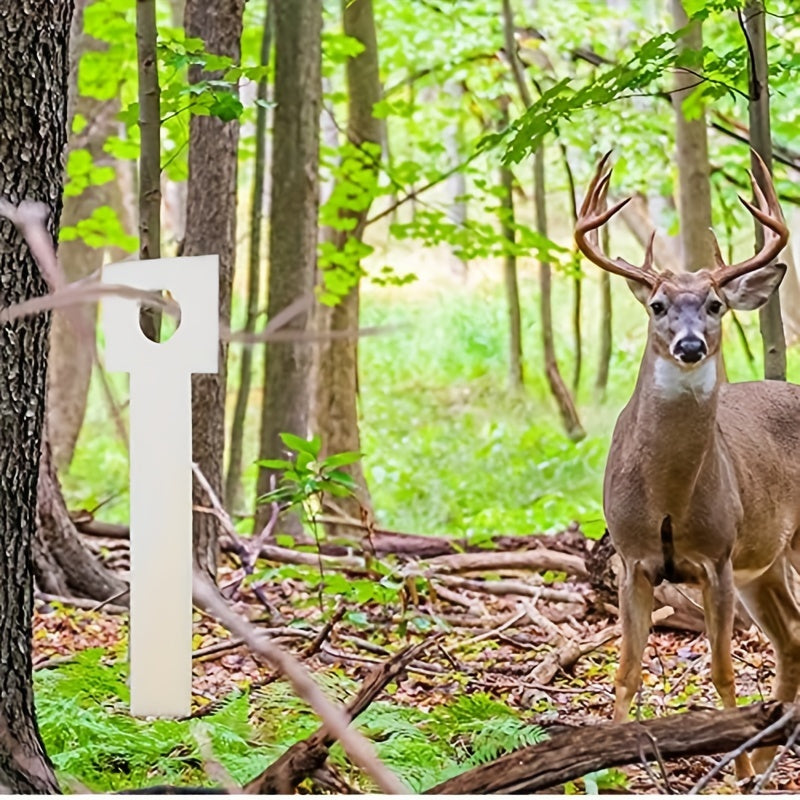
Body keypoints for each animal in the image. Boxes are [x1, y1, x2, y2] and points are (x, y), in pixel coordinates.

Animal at [575, 151, 799, 780]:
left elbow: (723, 670)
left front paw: (735, 773)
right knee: (792, 637)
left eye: (716, 304)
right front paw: (608, 768)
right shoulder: (632, 558)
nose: (691, 345)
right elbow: (626, 670)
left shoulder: (718, 556)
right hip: (765, 562)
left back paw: (761, 757)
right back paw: (769, 749)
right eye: (657, 305)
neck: (669, 498)